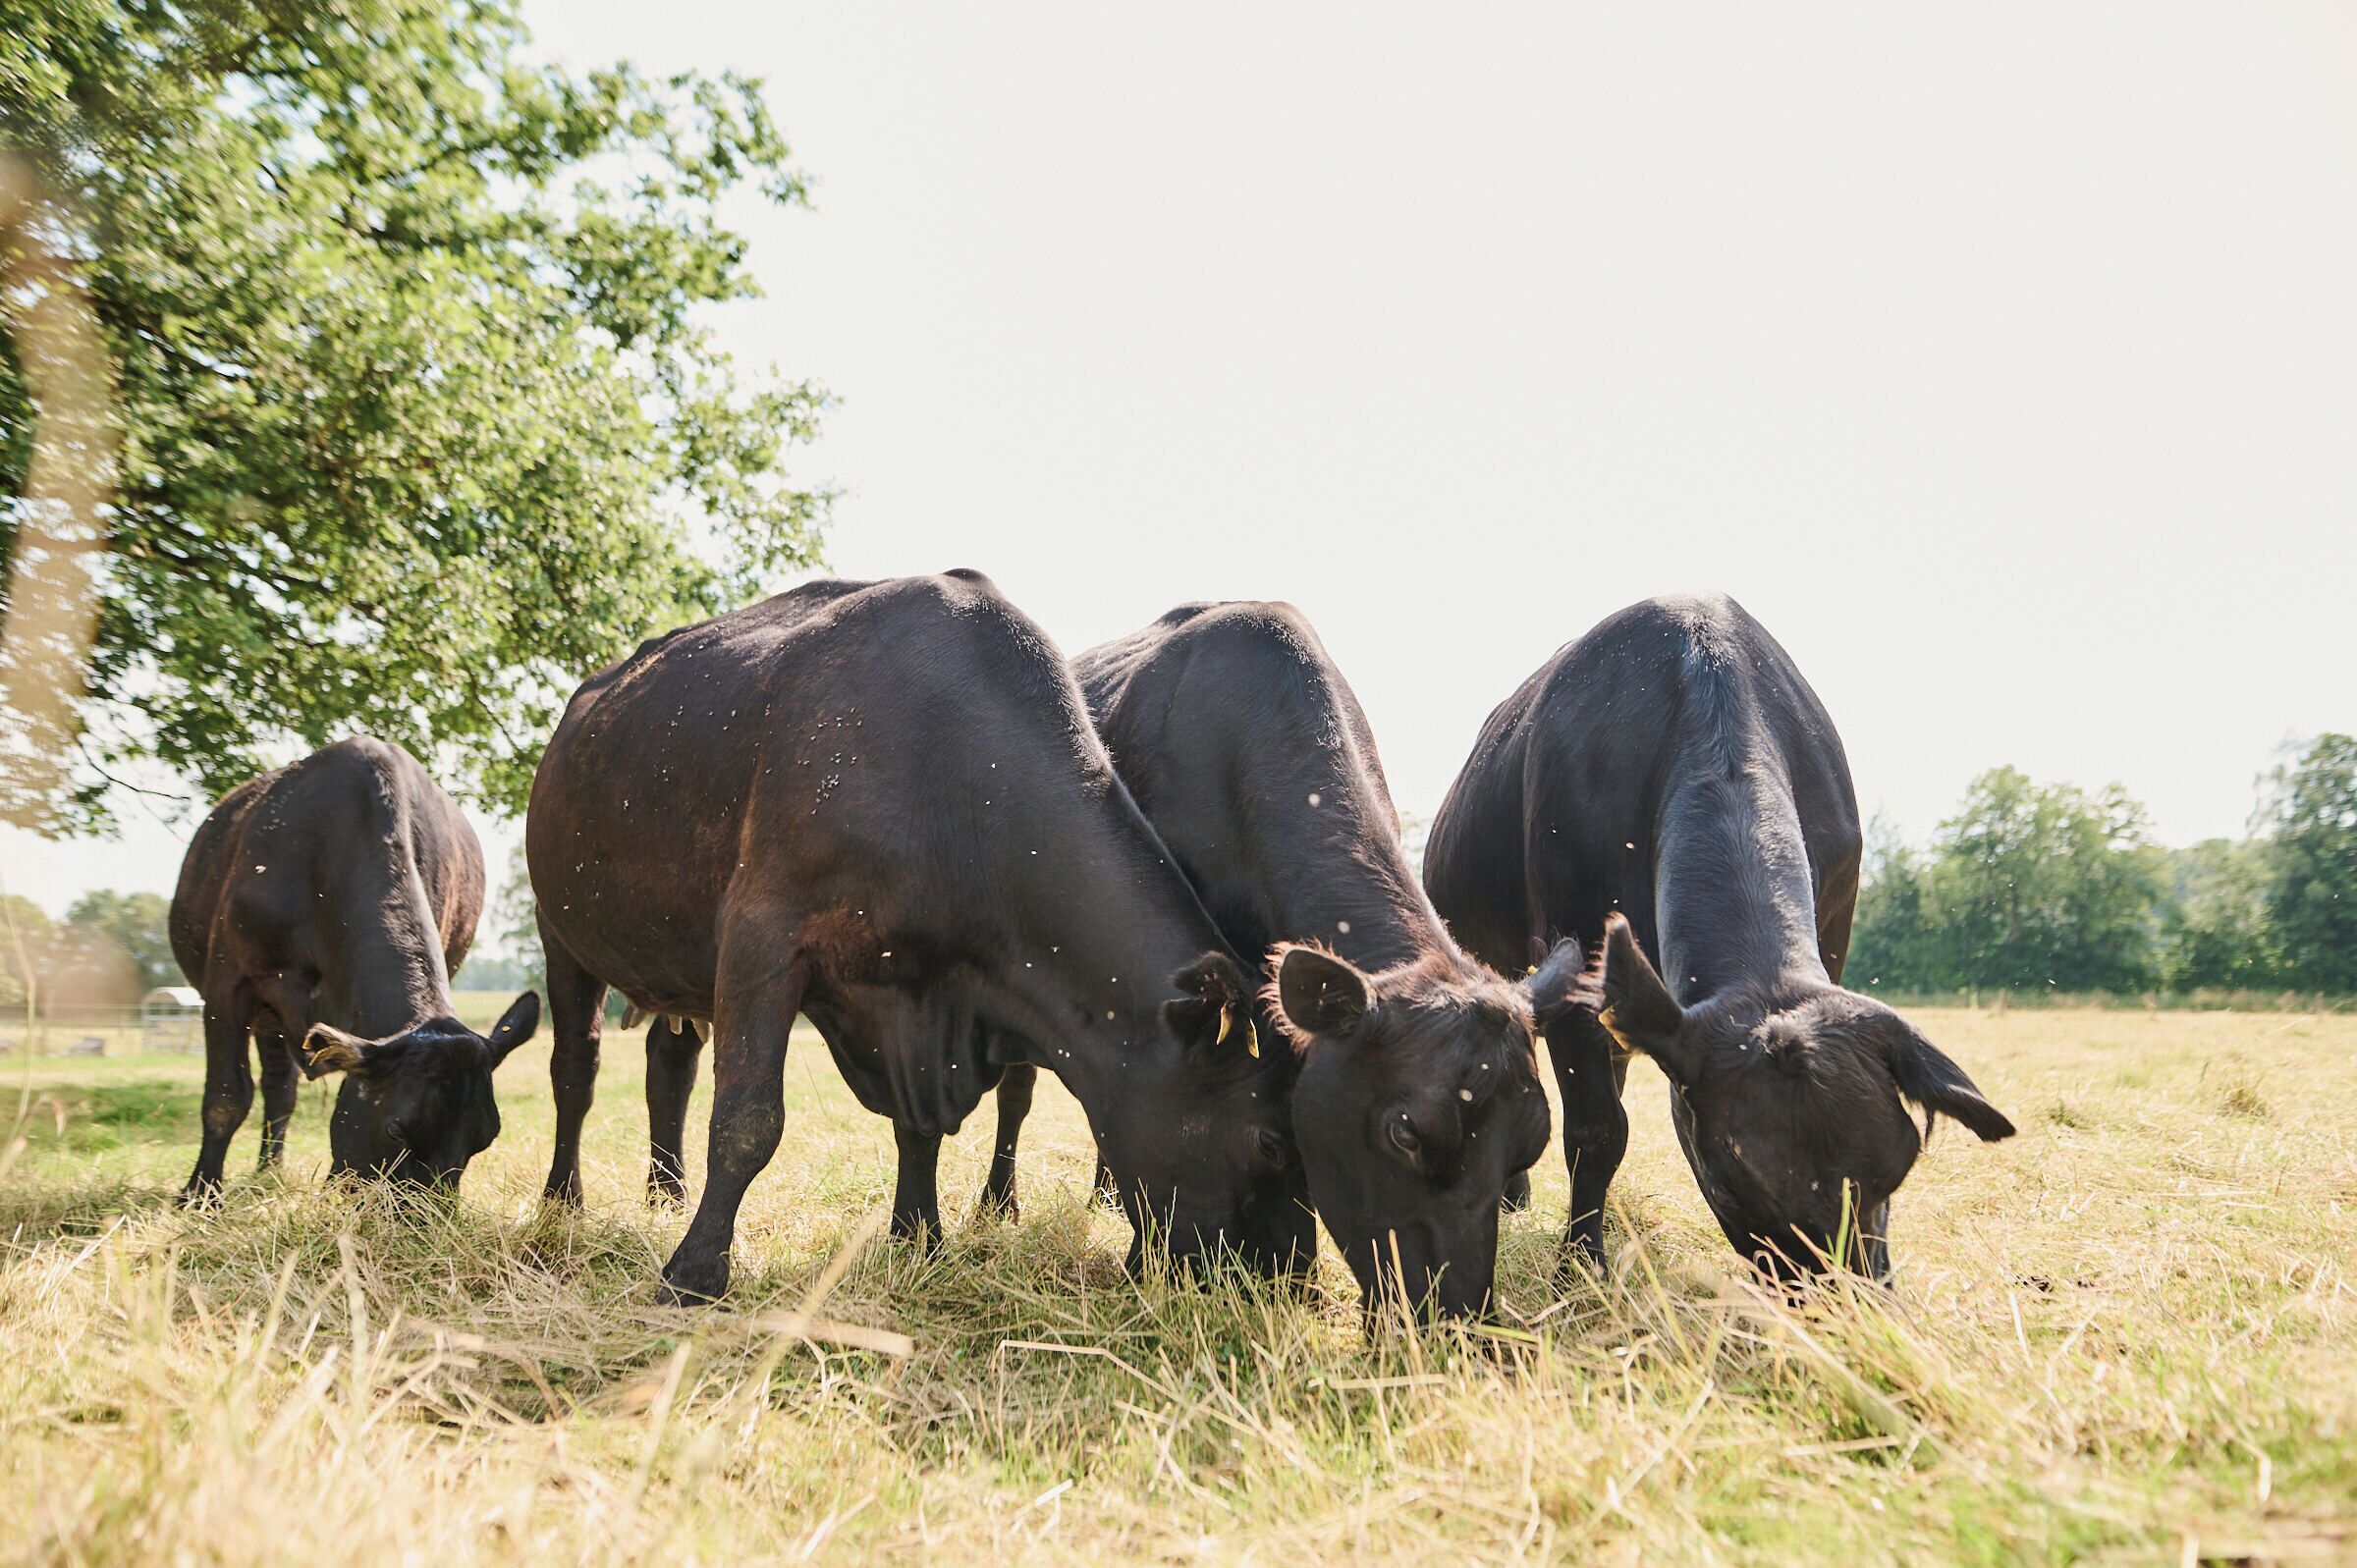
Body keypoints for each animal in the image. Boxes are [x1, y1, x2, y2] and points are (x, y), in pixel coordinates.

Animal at [168, 737, 540, 1199]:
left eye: (483, 1139)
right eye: (397, 1129)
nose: (426, 1217)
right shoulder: (228, 980)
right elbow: (226, 1097)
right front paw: (200, 1193)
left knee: (280, 1089)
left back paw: (269, 1172)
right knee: (273, 1087)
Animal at [525, 571, 1310, 1305]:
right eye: (1272, 1141)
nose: (1293, 1280)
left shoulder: (921, 990)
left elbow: (918, 1129)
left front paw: (918, 1238)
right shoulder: (762, 934)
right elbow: (748, 1119)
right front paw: (693, 1271)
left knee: (668, 1064)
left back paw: (665, 1195)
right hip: (558, 931)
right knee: (574, 1071)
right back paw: (561, 1204)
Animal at [989, 602, 1583, 1319]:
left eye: (1531, 1144)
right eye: (1407, 1132)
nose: (1457, 1318)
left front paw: (1298, 1278)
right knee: (1019, 1090)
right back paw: (1002, 1203)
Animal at [1424, 594, 2015, 1286]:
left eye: (1894, 1173)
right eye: (1733, 1183)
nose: (1850, 1305)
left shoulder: (1832, 933)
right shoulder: (1572, 951)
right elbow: (1597, 1131)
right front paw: (1580, 1264)